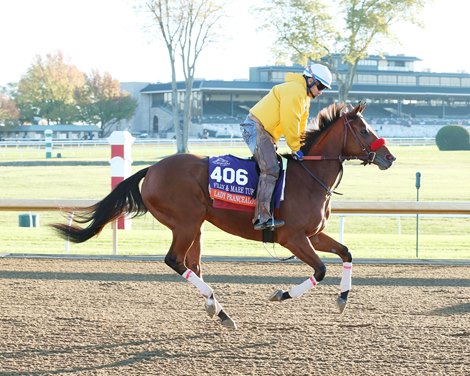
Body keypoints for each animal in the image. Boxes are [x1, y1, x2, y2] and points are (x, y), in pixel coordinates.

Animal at [51, 102, 396, 328]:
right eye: (364, 130)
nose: (389, 157)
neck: (309, 177)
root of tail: (152, 169)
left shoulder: (313, 234)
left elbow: (346, 252)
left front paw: (343, 299)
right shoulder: (293, 237)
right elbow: (321, 269)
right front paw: (282, 294)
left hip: (196, 226)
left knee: (193, 265)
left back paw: (218, 309)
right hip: (186, 222)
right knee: (175, 261)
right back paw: (220, 310)